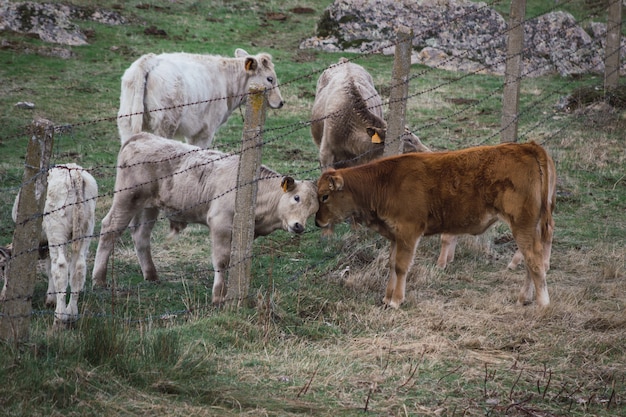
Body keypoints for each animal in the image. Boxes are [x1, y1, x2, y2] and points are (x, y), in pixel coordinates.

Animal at [4, 164, 97, 326]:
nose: (2, 297)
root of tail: (74, 173)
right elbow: (49, 267)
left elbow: (51, 268)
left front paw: (51, 299)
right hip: (87, 228)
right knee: (78, 267)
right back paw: (72, 314)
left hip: (56, 229)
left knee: (60, 267)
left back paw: (60, 317)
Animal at [92, 132, 316, 304]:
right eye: (296, 197)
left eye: (313, 210)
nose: (299, 226)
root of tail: (142, 136)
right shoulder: (220, 223)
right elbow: (222, 261)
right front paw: (218, 296)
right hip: (127, 199)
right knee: (109, 229)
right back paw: (99, 279)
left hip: (149, 206)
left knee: (141, 235)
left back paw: (151, 276)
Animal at [117, 48, 282, 148]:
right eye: (270, 79)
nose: (281, 102)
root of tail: (151, 60)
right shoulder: (205, 131)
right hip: (165, 124)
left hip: (126, 123)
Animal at [314, 142, 552, 308]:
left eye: (325, 196)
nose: (317, 221)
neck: (385, 182)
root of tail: (527, 146)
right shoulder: (395, 236)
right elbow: (391, 265)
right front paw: (386, 298)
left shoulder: (409, 233)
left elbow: (401, 266)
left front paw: (396, 301)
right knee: (532, 259)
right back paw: (524, 298)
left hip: (522, 225)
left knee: (534, 260)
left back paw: (543, 304)